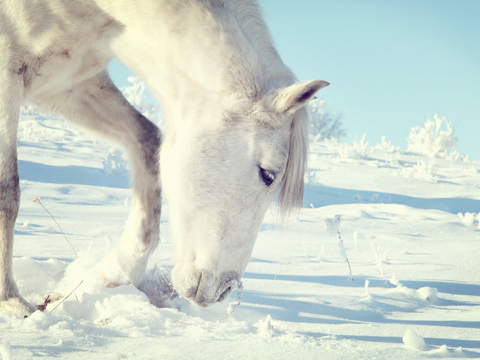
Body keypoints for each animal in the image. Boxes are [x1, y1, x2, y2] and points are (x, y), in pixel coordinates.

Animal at [0, 0, 328, 316]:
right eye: (267, 174)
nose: (224, 290)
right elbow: (8, 193)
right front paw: (11, 301)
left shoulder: (67, 84)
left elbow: (148, 143)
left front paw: (117, 271)